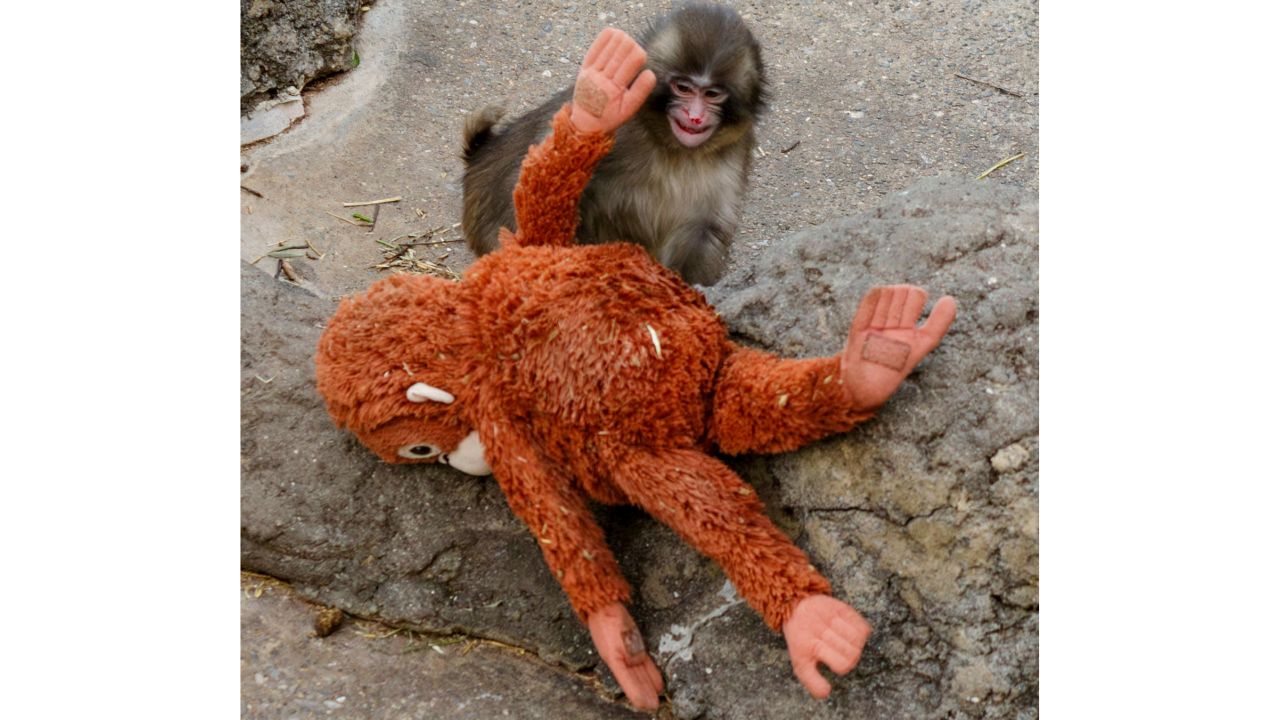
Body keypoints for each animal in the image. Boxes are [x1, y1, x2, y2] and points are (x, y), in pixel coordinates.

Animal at [461, 2, 766, 286]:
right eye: (683, 88)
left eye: (712, 94)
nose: (695, 116)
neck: (672, 147)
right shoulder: (623, 130)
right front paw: (596, 108)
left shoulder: (736, 152)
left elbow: (706, 229)